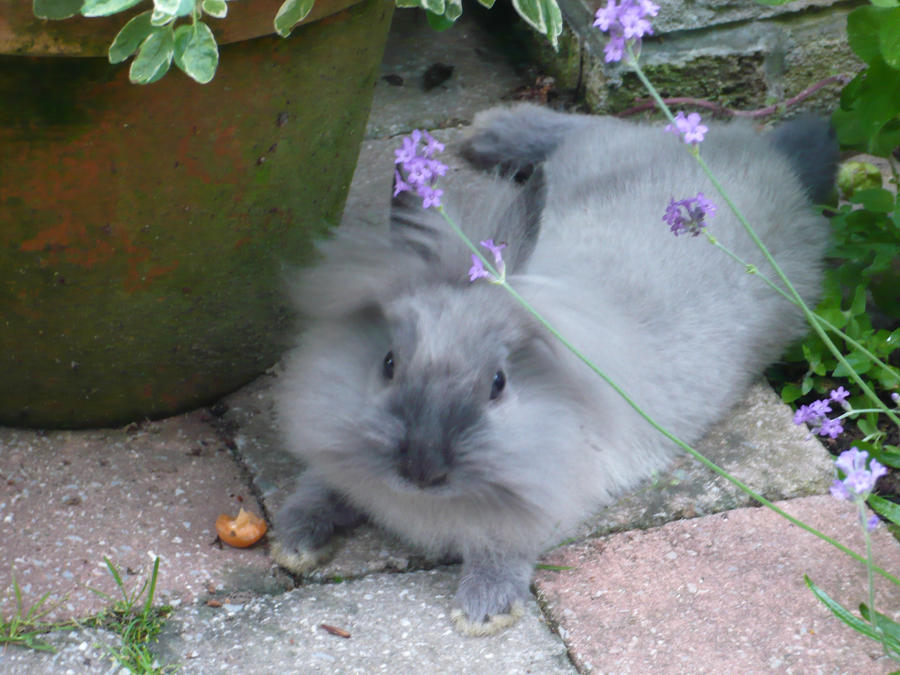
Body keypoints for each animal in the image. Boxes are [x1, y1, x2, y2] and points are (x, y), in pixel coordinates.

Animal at [270, 103, 838, 636]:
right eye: (388, 363)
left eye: (498, 383)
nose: (420, 468)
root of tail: (766, 156)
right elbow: (322, 485)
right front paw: (292, 541)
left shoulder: (551, 498)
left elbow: (502, 545)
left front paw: (484, 610)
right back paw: (491, 133)